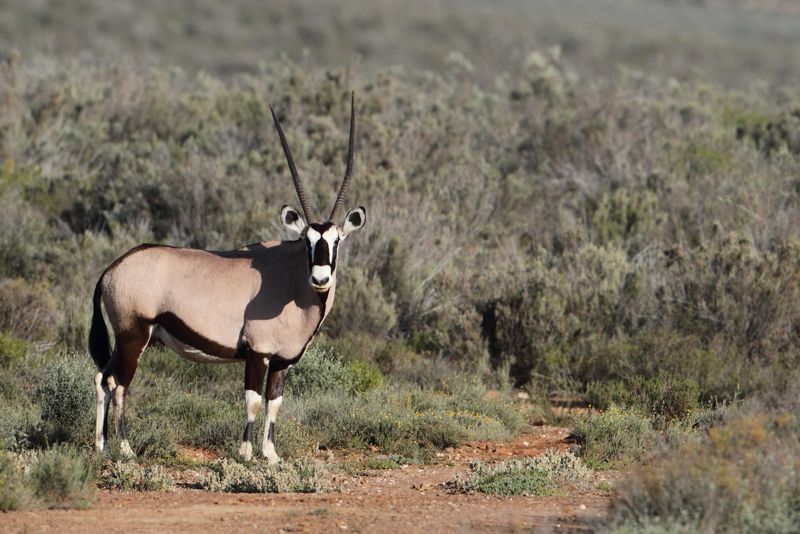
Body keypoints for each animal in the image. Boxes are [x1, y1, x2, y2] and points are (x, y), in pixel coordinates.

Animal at [89, 95, 364, 464]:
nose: (320, 278)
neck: (291, 279)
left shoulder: (282, 361)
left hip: (125, 340)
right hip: (134, 336)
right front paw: (246, 453)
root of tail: (111, 270)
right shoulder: (258, 354)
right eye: (306, 241)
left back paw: (101, 446)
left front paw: (271, 455)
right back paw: (125, 449)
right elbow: (253, 400)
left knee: (102, 377)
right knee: (118, 384)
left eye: (336, 242)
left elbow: (274, 403)